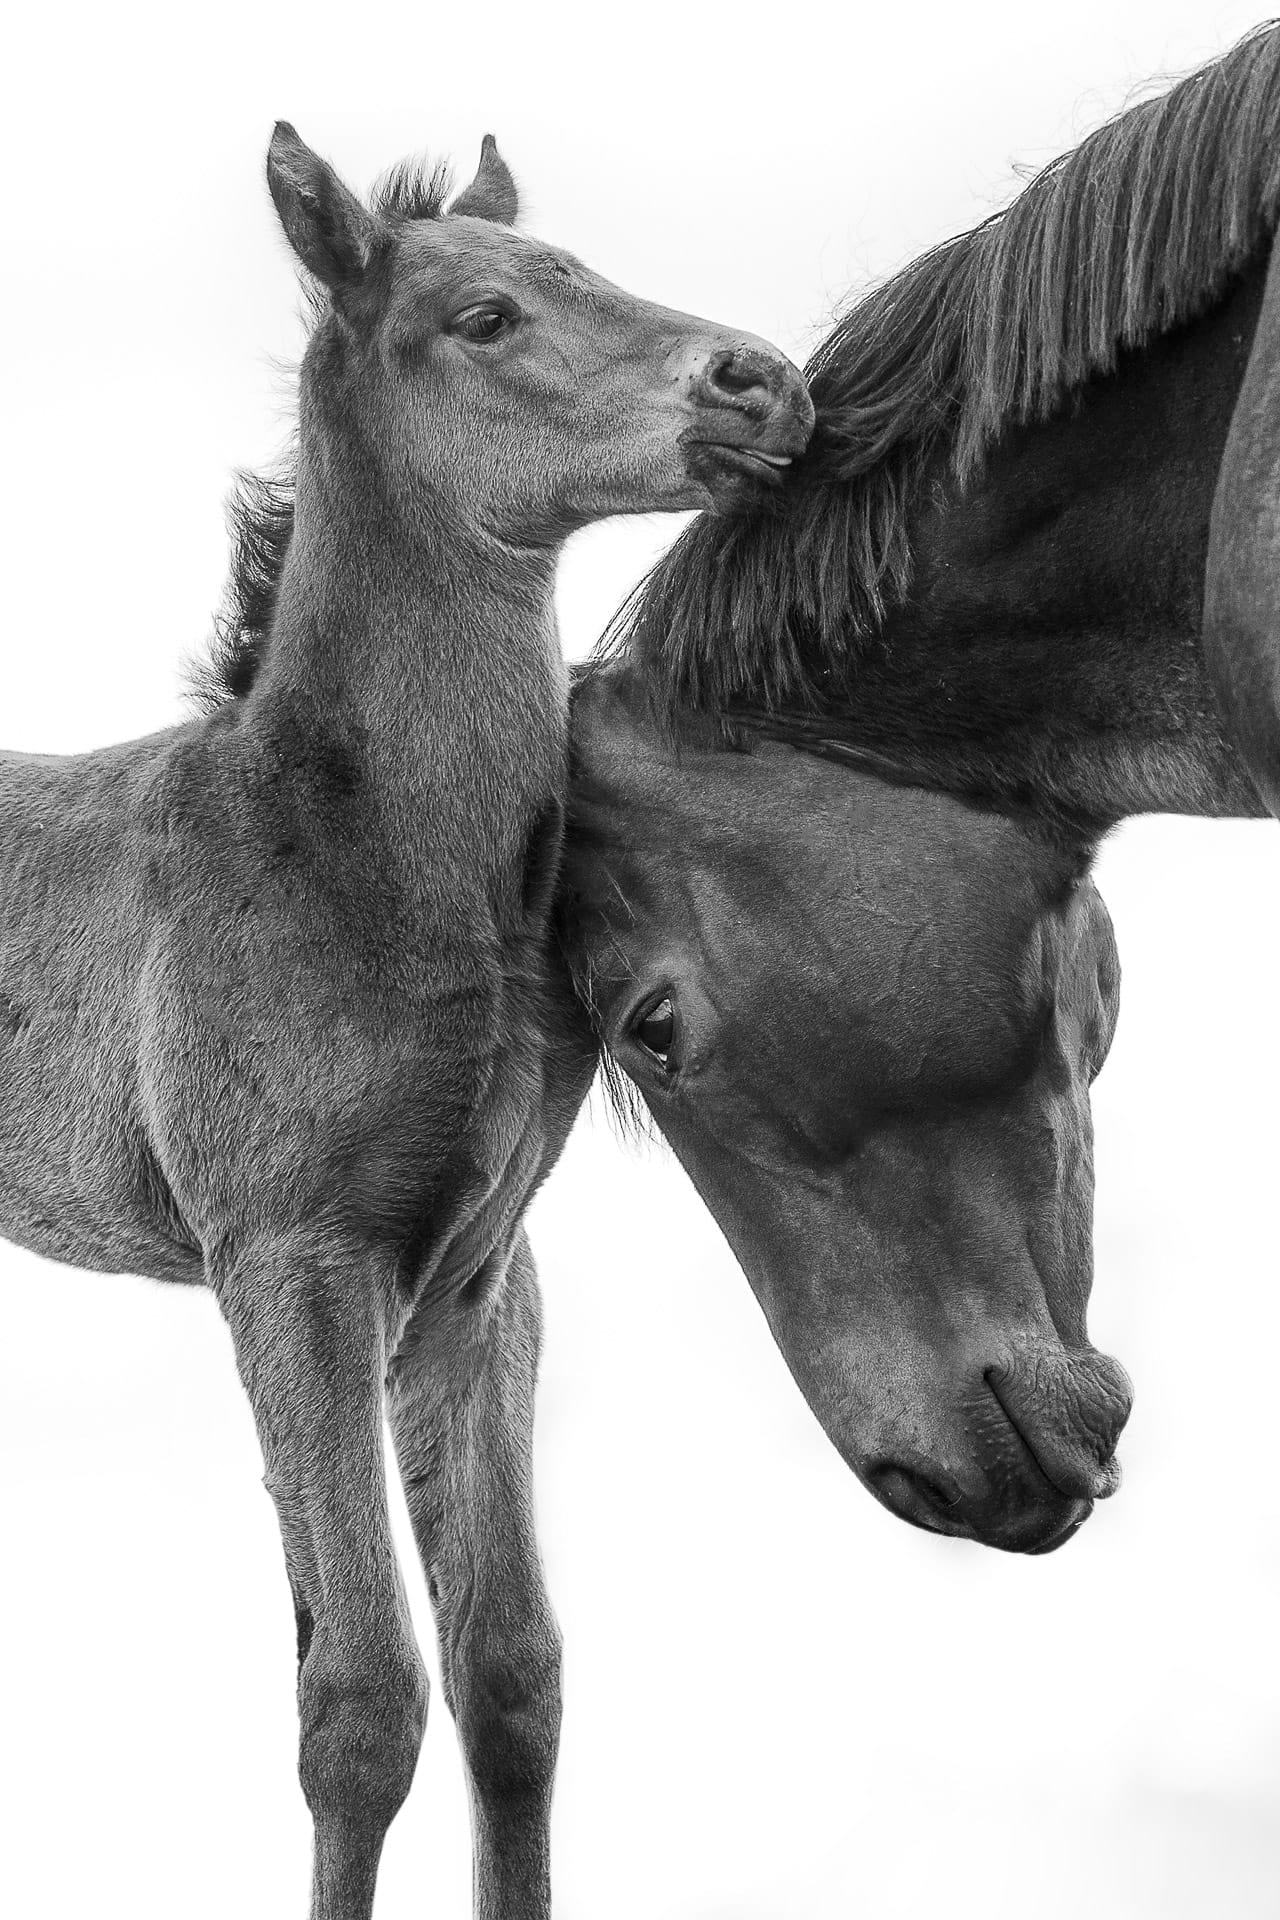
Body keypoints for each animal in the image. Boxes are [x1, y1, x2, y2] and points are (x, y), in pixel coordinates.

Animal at [0, 124, 811, 1920]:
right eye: (488, 317)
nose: (764, 381)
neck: (358, 853)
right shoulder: (291, 1266)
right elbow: (363, 1698)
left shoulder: (474, 1283)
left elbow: (512, 1676)